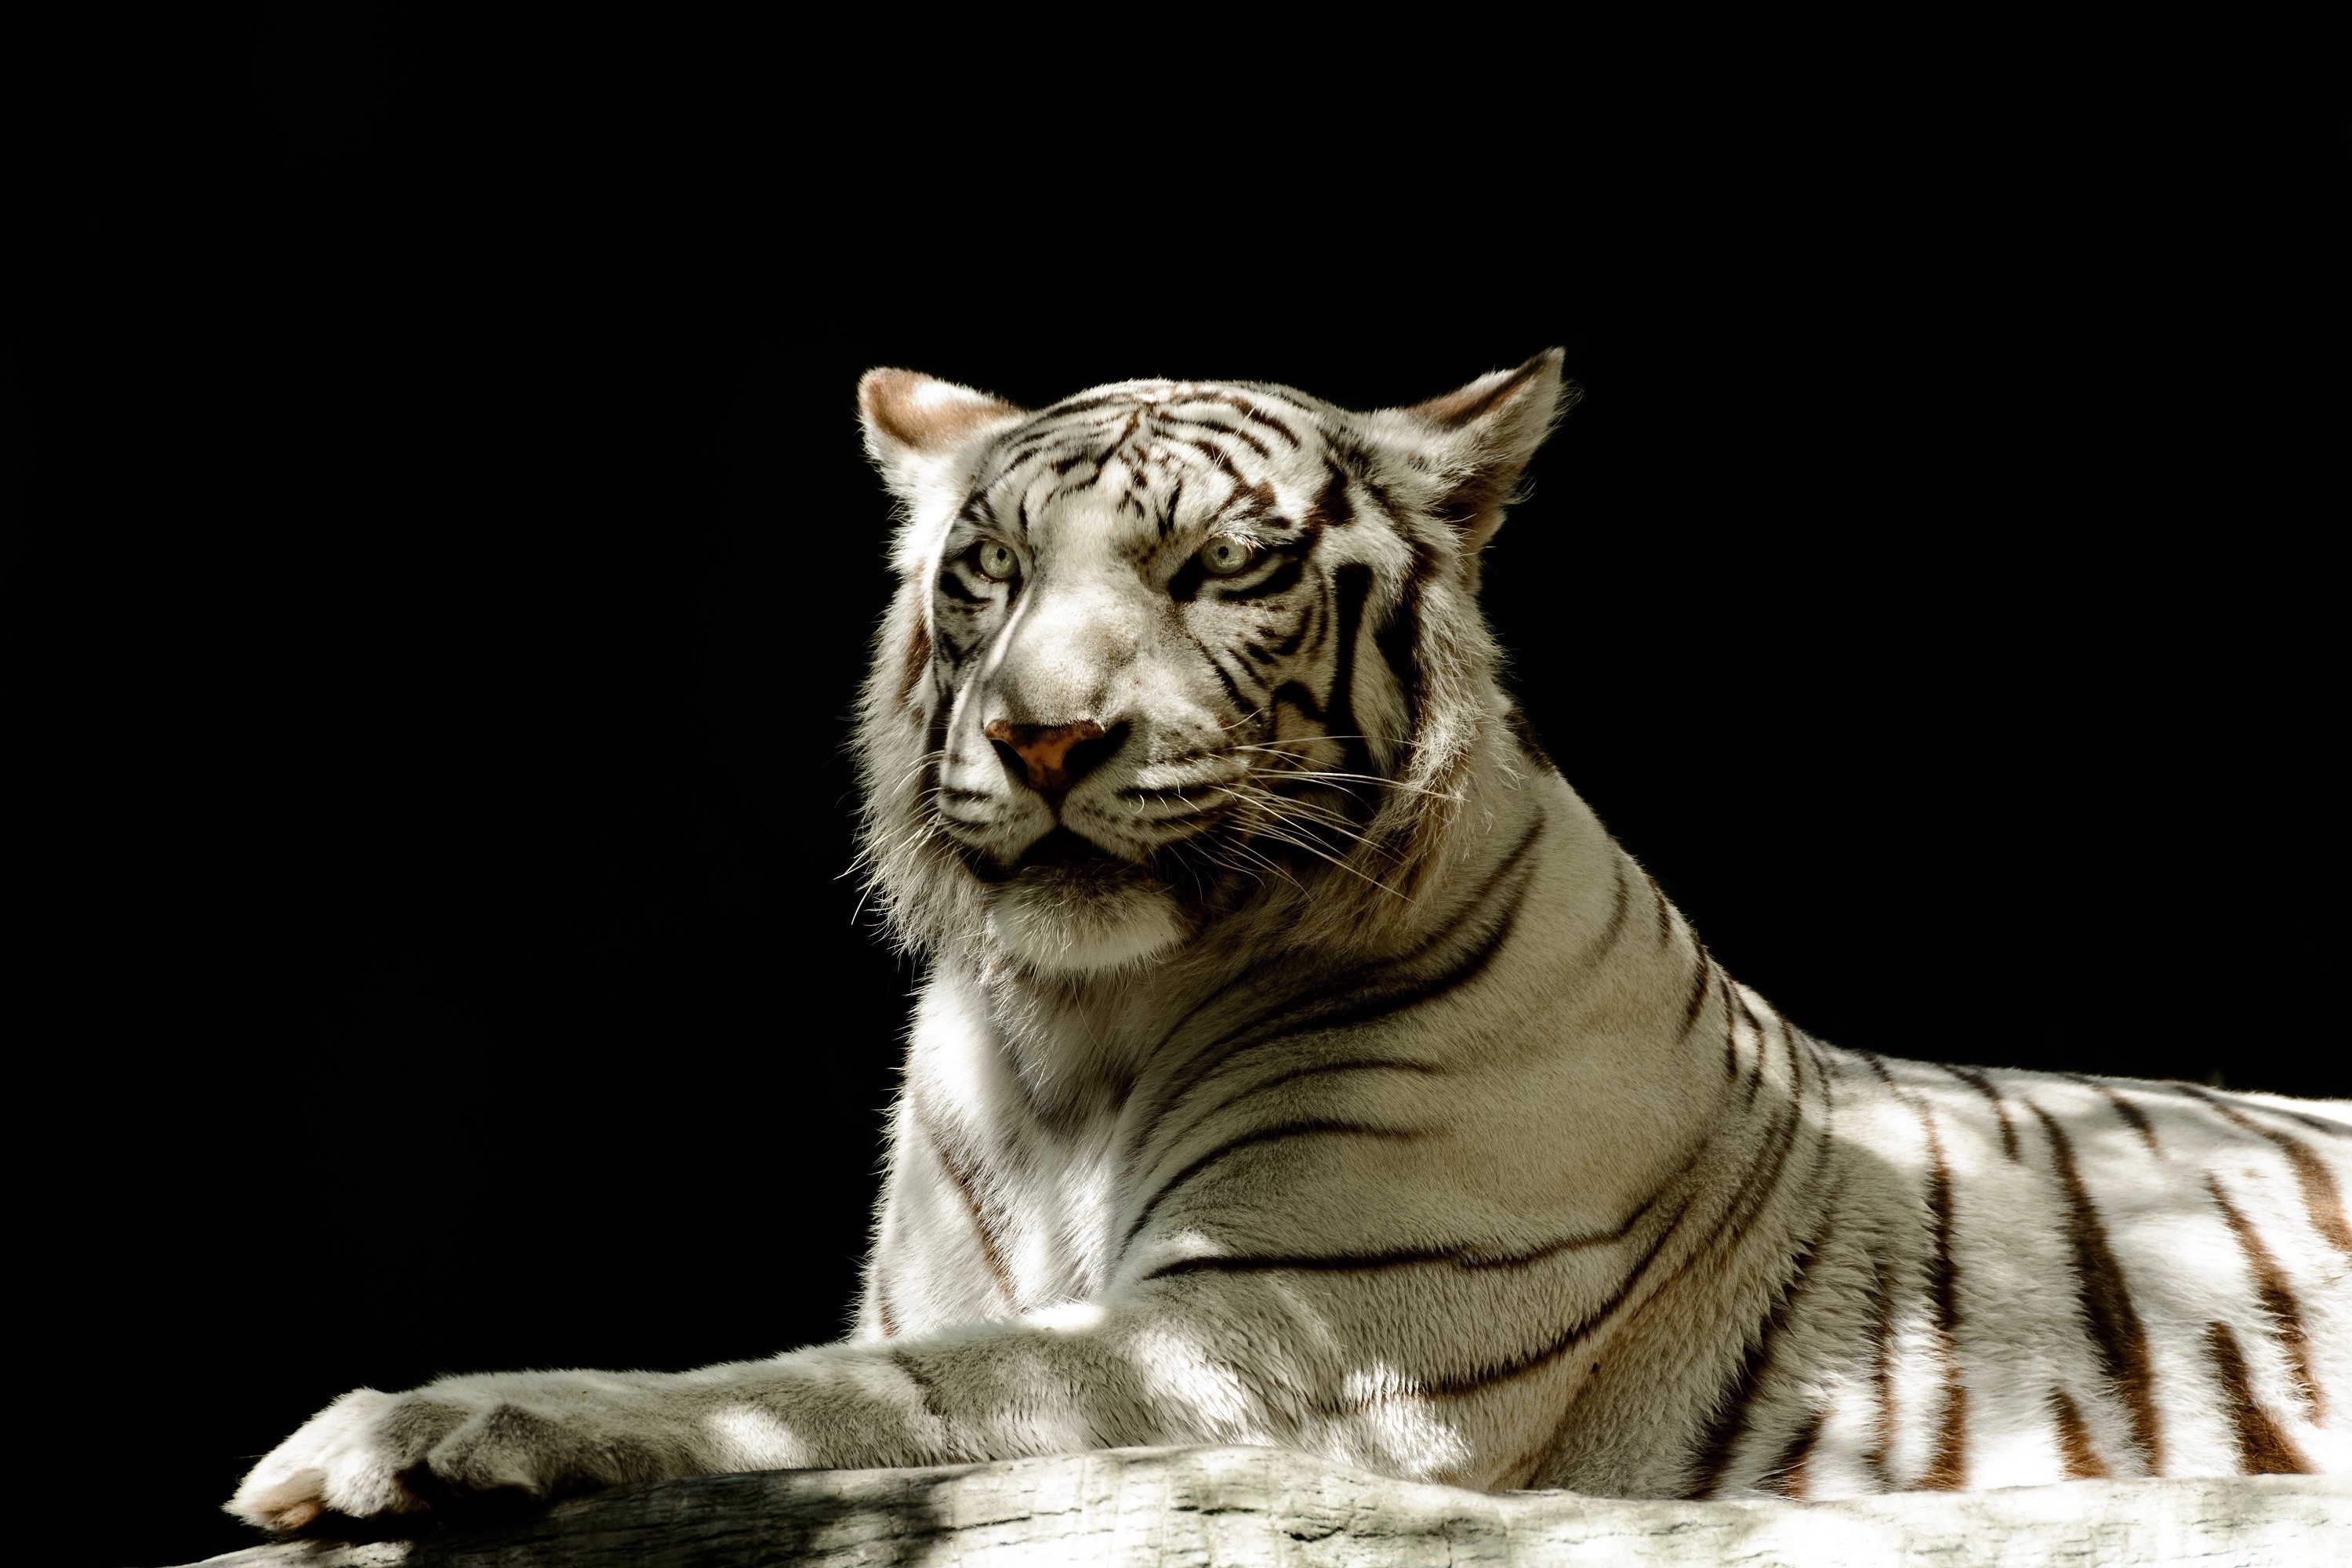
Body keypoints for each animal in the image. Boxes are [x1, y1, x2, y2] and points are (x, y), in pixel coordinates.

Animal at [230, 352, 2350, 1534]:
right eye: (990, 568)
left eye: (1220, 567)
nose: (1045, 735)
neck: (1074, 1033)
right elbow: (849, 1367)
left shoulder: (1282, 1340)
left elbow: (815, 1395)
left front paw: (415, 1425)